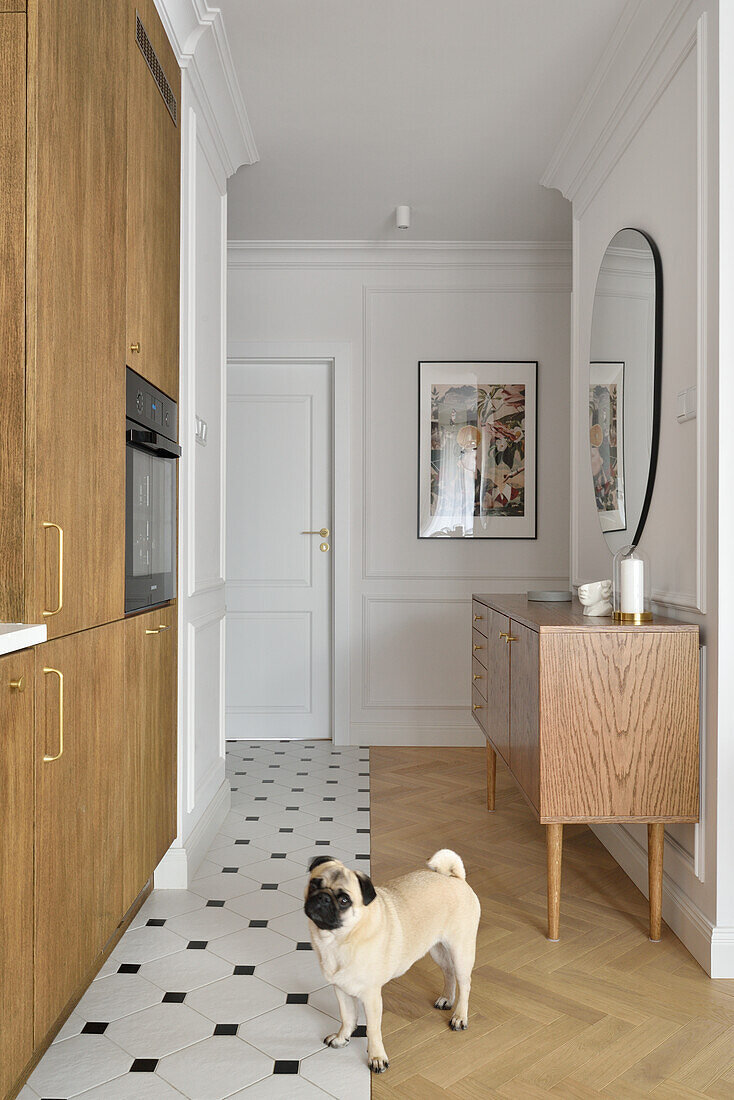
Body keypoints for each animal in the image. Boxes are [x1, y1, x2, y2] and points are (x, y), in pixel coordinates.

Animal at [303, 849, 481, 1073]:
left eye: (344, 900)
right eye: (314, 884)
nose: (323, 897)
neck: (338, 939)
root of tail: (454, 877)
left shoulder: (371, 996)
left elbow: (373, 1030)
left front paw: (377, 1058)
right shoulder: (341, 990)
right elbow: (347, 1017)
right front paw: (342, 1038)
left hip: (461, 951)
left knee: (465, 984)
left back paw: (460, 1017)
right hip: (437, 949)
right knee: (448, 972)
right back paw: (447, 998)